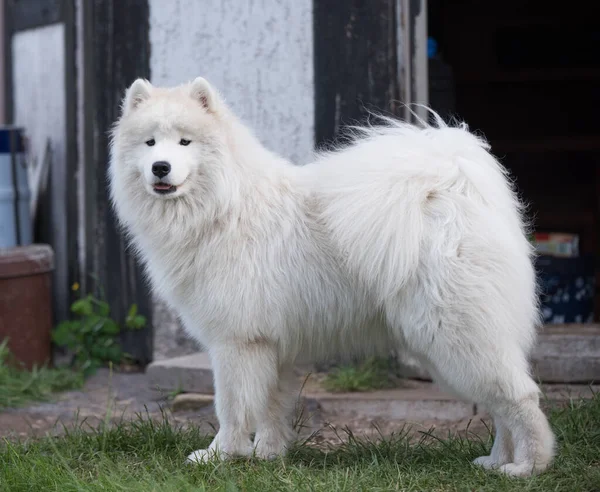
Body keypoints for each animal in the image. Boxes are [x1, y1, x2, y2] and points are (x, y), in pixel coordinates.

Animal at [108, 77, 552, 476]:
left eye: (185, 143)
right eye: (150, 143)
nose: (160, 168)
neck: (222, 207)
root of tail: (454, 187)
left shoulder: (237, 343)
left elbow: (232, 408)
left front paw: (220, 456)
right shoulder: (272, 346)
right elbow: (271, 407)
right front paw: (268, 456)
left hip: (456, 338)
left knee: (520, 397)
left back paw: (528, 466)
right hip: (449, 346)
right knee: (499, 405)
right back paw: (496, 462)